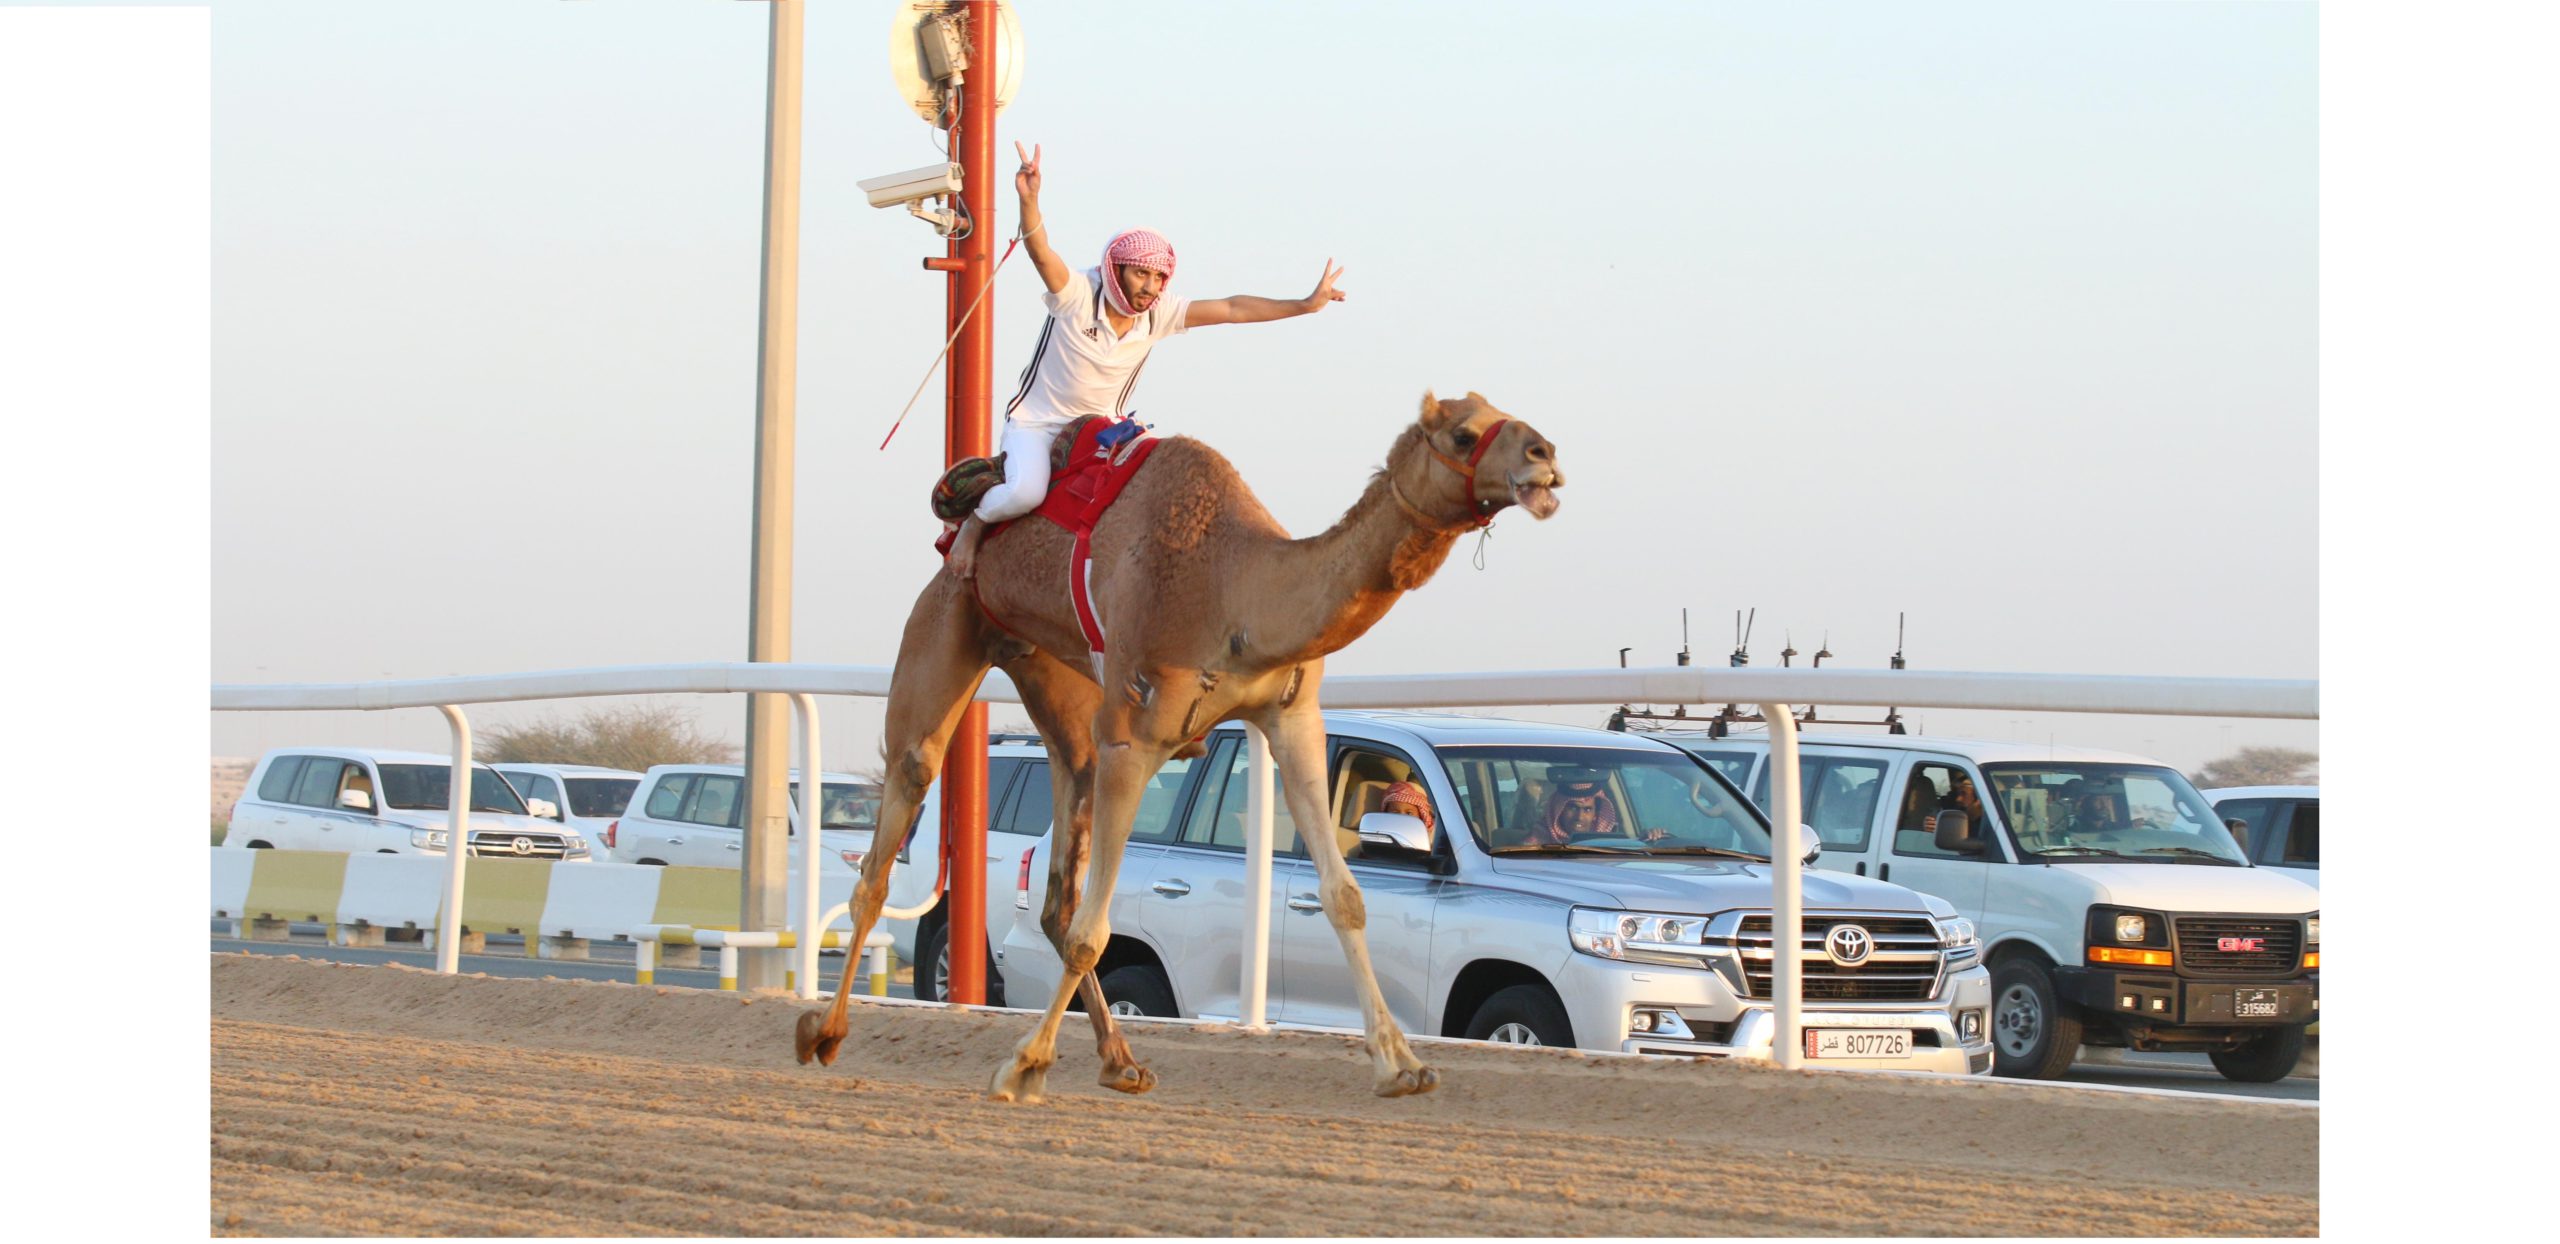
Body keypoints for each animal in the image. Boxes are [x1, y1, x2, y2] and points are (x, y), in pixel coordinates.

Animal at [793, 389, 1556, 1100]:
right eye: (1463, 434)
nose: (1544, 455)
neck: (1234, 587)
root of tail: (959, 529)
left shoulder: (1292, 718)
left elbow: (1346, 897)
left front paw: (1403, 1065)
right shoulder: (1135, 738)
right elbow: (1095, 933)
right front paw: (1019, 1065)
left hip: (1054, 682)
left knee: (1057, 887)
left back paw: (1121, 1060)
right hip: (950, 620)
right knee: (891, 837)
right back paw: (823, 1031)